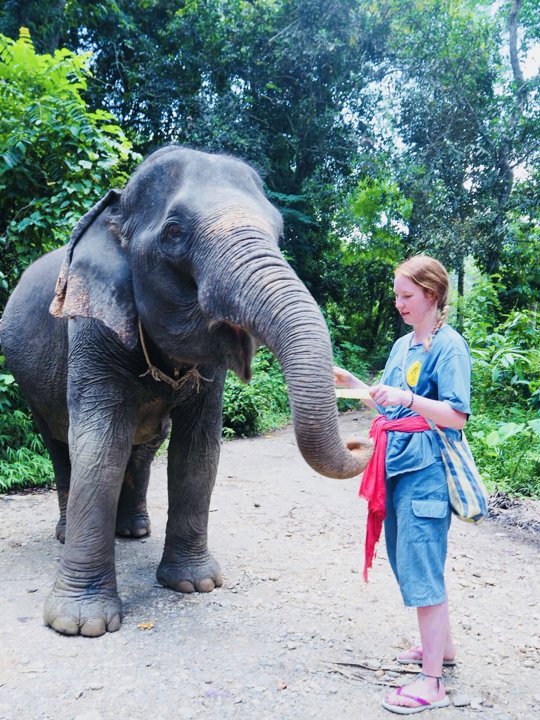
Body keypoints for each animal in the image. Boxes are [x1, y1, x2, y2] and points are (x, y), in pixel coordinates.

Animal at [0, 145, 373, 637]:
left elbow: (198, 449)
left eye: (279, 231)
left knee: (145, 445)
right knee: (60, 445)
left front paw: (196, 585)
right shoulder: (90, 326)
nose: (362, 440)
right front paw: (80, 625)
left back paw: (133, 531)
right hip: (28, 379)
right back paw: (68, 534)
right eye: (174, 232)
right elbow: (99, 446)